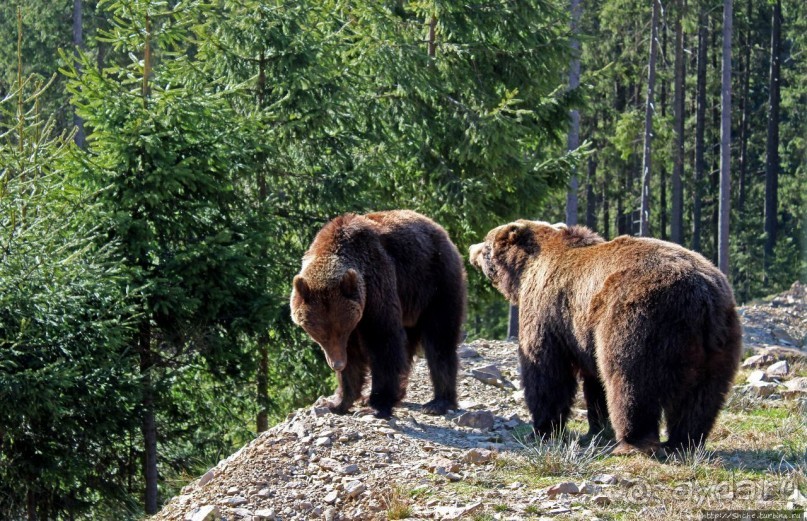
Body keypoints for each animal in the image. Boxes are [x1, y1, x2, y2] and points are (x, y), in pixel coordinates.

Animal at [290, 209, 468, 416]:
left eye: (340, 331)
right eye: (321, 334)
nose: (337, 364)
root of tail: (439, 229)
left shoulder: (377, 284)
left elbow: (383, 340)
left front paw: (377, 401)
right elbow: (354, 355)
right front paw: (339, 402)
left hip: (435, 283)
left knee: (439, 338)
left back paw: (438, 402)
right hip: (411, 304)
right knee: (410, 344)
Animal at [470, 221, 740, 452]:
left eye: (486, 243)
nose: (472, 248)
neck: (524, 271)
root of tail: (701, 295)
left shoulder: (547, 312)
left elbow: (547, 373)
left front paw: (542, 429)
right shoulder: (584, 336)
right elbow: (594, 382)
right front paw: (596, 430)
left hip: (638, 322)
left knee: (631, 383)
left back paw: (633, 441)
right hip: (719, 339)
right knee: (702, 396)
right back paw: (684, 441)